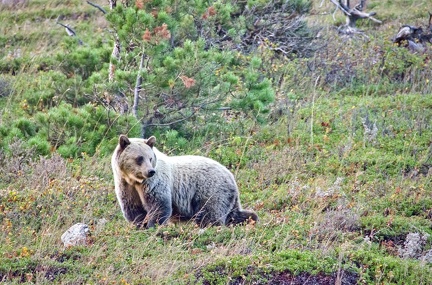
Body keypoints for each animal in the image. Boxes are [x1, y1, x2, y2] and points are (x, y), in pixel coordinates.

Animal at [112, 134, 260, 227]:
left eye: (150, 158)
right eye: (139, 158)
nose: (150, 171)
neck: (135, 180)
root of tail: (231, 175)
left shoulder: (154, 184)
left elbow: (159, 205)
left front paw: (152, 226)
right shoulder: (125, 186)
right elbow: (133, 209)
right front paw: (139, 225)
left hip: (211, 191)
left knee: (211, 214)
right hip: (227, 196)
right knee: (234, 214)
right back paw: (251, 218)